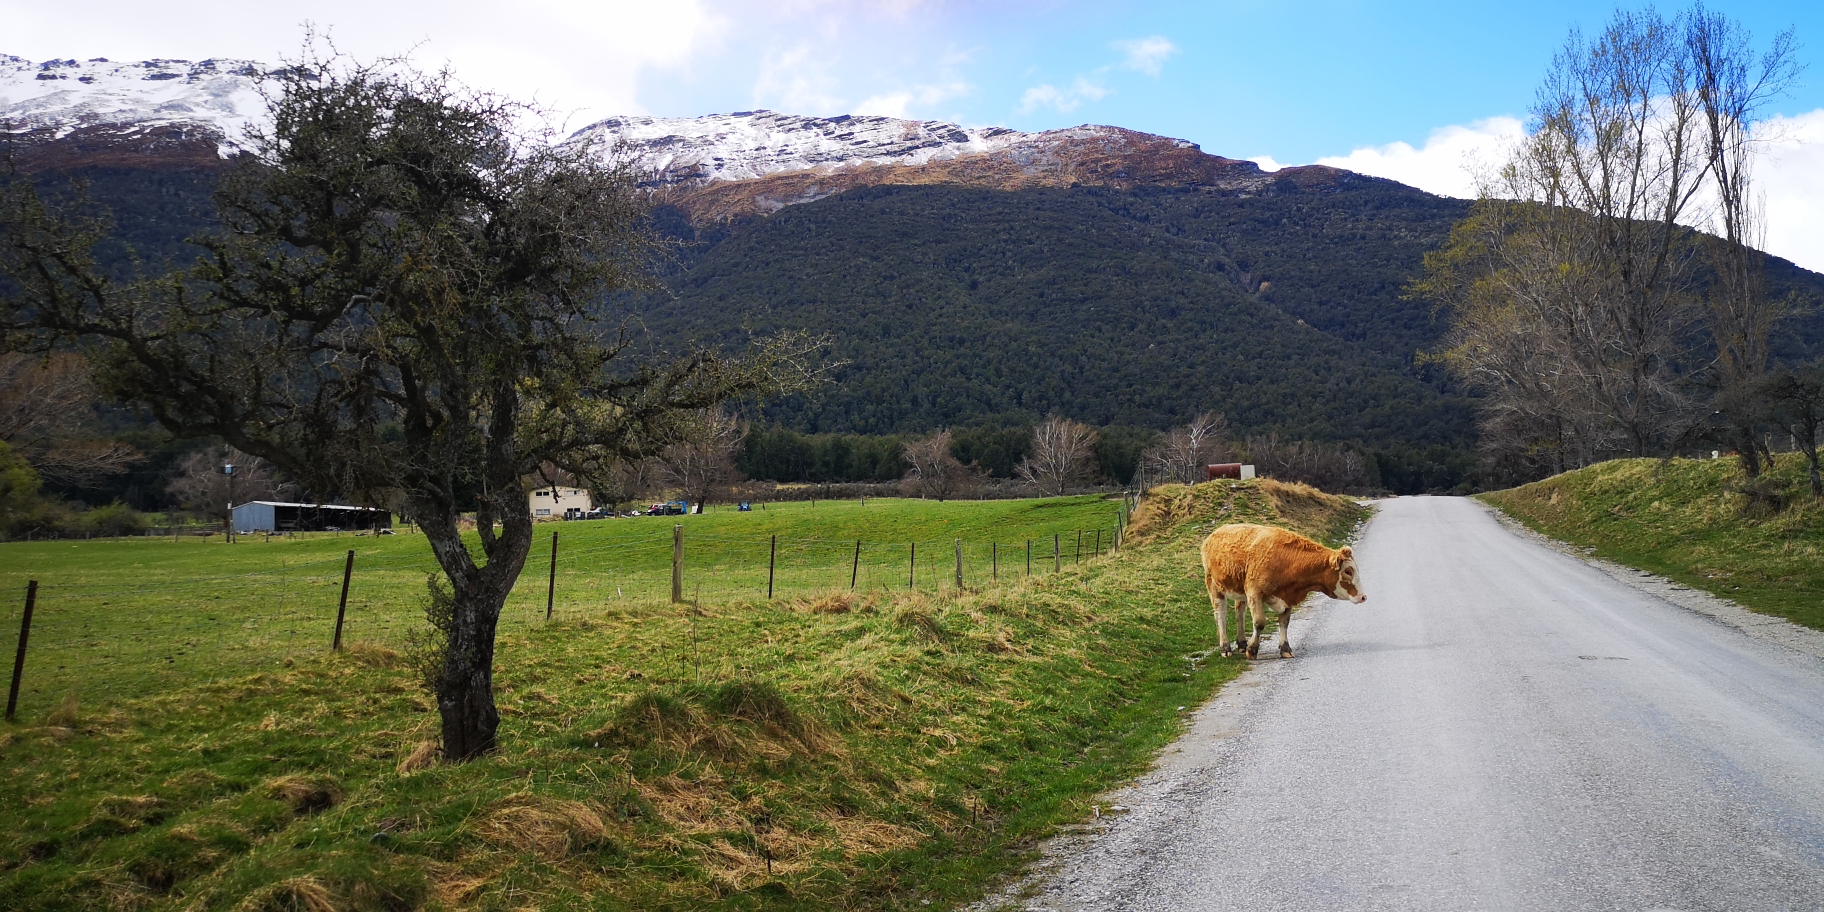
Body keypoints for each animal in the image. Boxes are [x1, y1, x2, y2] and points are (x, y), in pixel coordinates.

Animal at [1196, 525, 1371, 660]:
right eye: (1348, 571)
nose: (1363, 596)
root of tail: (1215, 533)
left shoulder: (1287, 597)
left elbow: (1284, 622)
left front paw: (1285, 649)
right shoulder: (1254, 593)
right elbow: (1259, 623)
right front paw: (1252, 650)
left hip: (1240, 590)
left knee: (1240, 611)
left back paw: (1241, 642)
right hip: (1213, 585)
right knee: (1220, 614)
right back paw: (1225, 648)